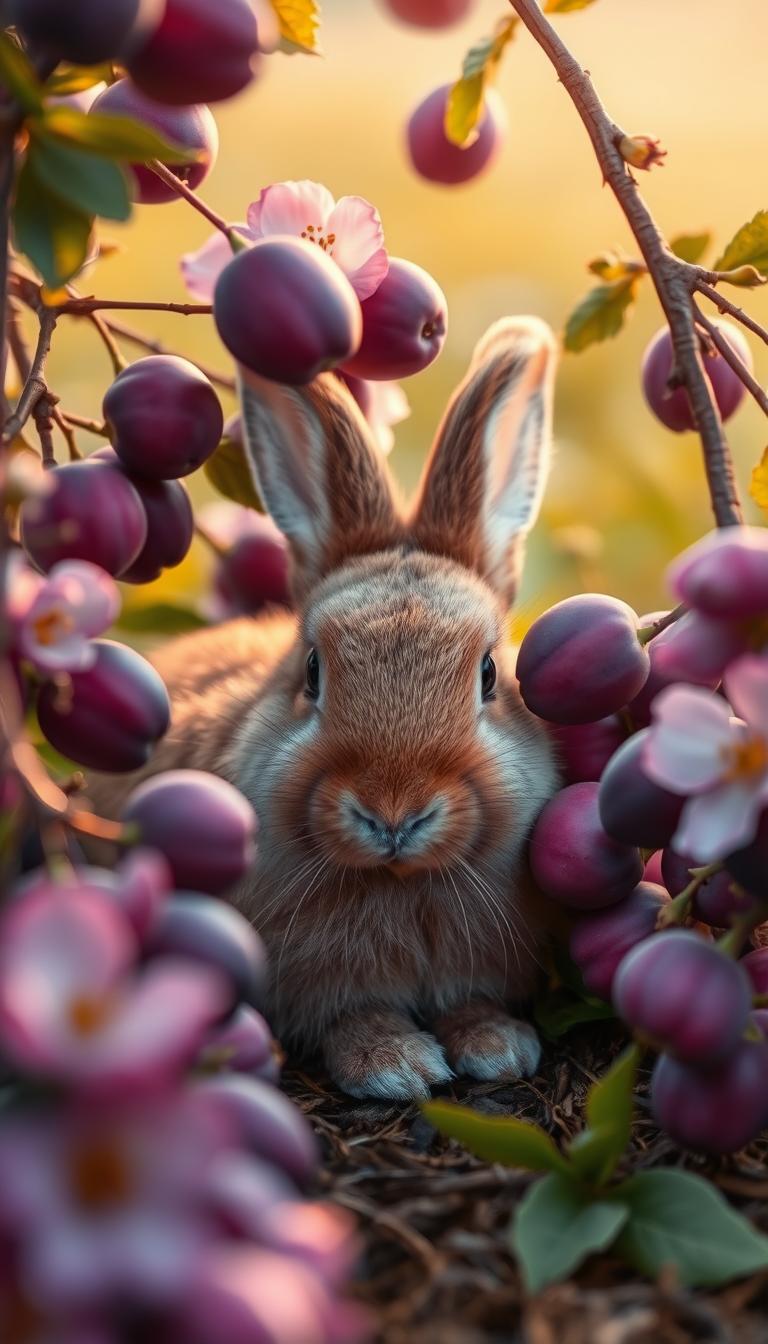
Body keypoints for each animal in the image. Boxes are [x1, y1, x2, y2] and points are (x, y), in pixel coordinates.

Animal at [90, 316, 562, 1101]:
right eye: (312, 673)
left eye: (491, 676)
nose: (393, 814)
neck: (400, 884)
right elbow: (352, 1016)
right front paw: (396, 1066)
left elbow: (471, 1003)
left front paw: (498, 1046)